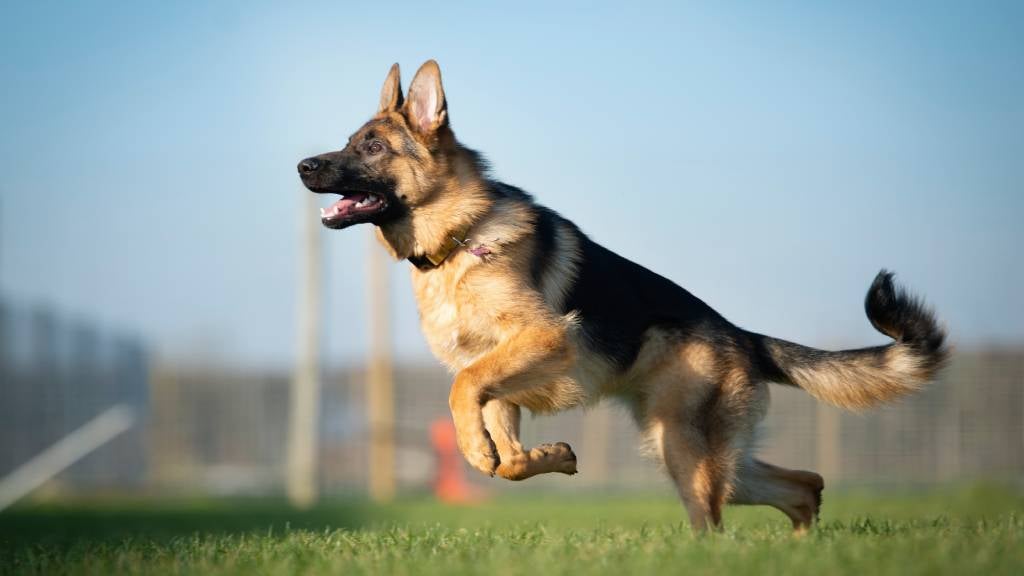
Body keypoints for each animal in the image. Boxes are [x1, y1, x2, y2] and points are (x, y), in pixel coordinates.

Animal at [299, 60, 946, 528]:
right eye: (349, 142)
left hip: (687, 452)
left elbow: (463, 394)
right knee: (803, 486)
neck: (461, 238)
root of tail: (741, 335)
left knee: (718, 520)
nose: (303, 165)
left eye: (372, 148)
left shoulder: (538, 340)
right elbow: (507, 456)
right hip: (700, 452)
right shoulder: (500, 381)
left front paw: (479, 451)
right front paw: (544, 457)